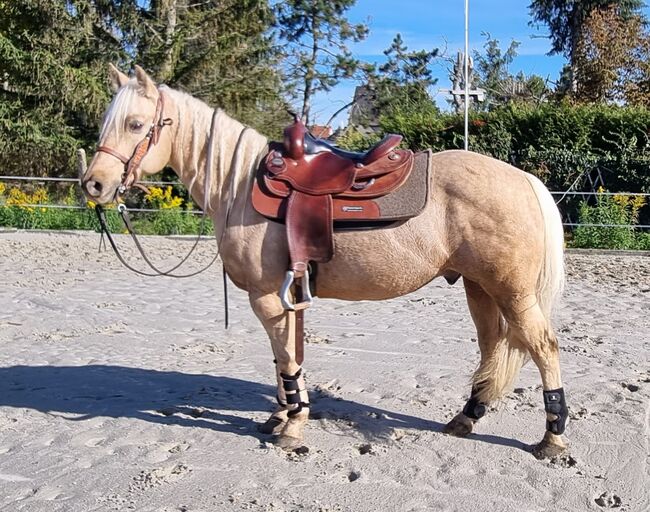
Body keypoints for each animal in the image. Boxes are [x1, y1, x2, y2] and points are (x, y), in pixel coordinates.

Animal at [81, 65, 568, 460]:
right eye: (106, 121)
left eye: (136, 124)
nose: (94, 184)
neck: (240, 185)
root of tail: (524, 179)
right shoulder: (287, 296)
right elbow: (285, 360)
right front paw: (281, 417)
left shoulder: (266, 297)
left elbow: (288, 361)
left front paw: (293, 427)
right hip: (478, 288)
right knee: (493, 348)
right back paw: (466, 417)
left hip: (511, 291)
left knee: (543, 347)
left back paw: (553, 439)